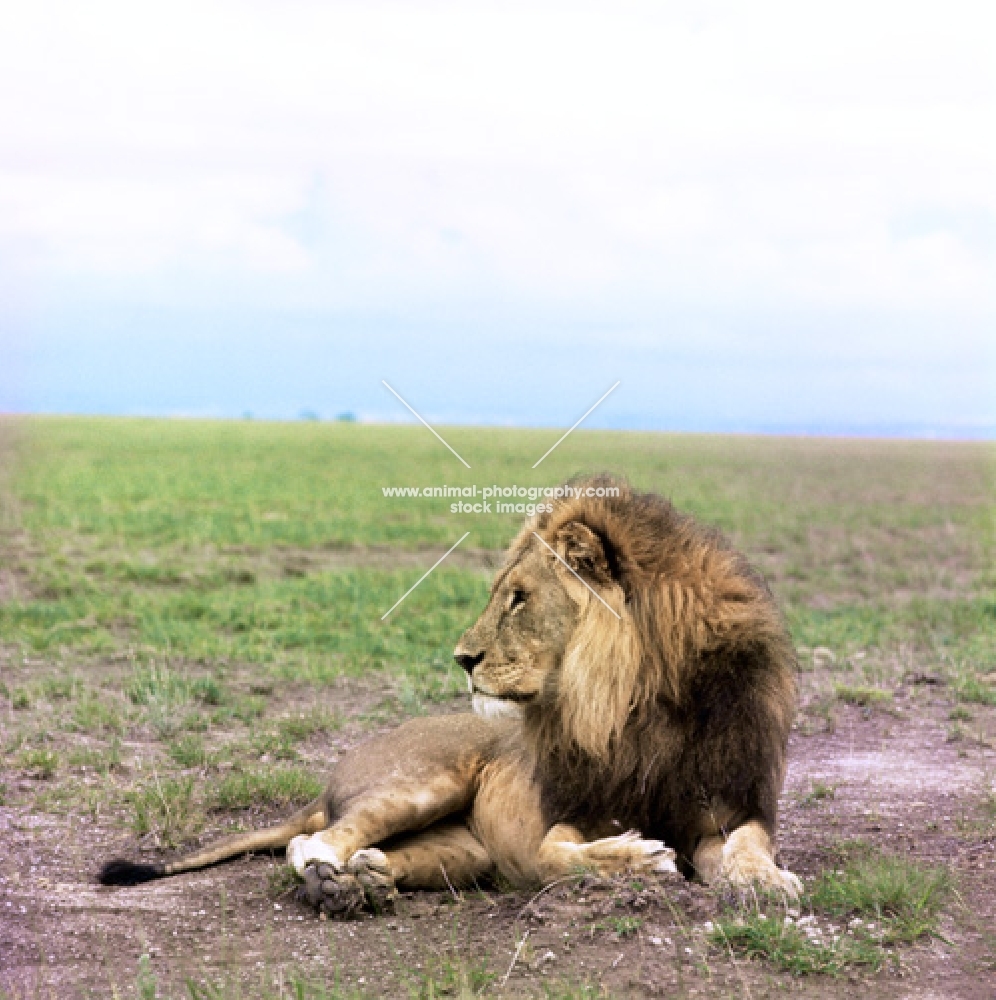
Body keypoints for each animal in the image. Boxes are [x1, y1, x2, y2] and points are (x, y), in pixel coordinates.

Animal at [101, 478, 800, 916]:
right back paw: (333, 884)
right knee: (312, 846)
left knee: (379, 854)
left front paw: (769, 881)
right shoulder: (565, 813)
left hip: (463, 850)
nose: (463, 659)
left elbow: (748, 844)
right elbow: (556, 857)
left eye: (519, 599)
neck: (638, 704)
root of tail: (327, 784)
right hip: (422, 782)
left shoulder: (728, 804)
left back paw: (367, 883)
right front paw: (639, 857)